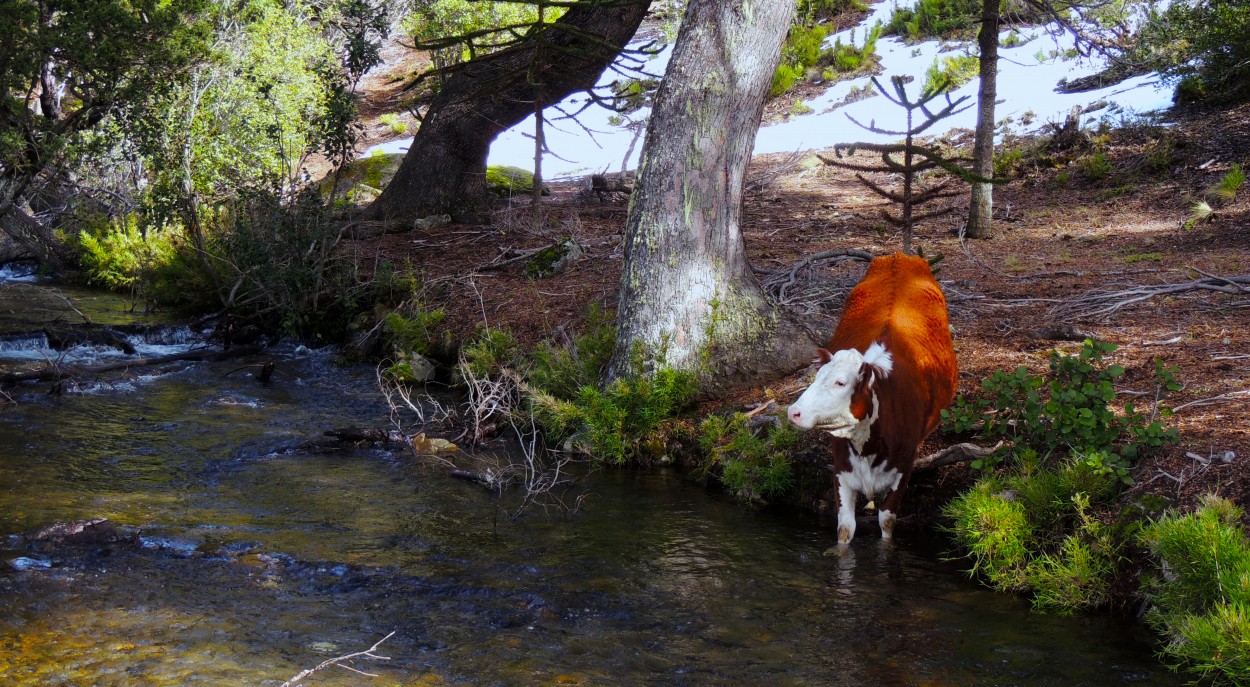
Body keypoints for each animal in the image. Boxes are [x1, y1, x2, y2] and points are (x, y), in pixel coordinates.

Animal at [790, 253, 955, 549]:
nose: (793, 412)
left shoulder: (902, 471)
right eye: (817, 376)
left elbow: (887, 524)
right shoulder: (841, 472)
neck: (868, 444)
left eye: (841, 383)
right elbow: (845, 529)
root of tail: (899, 256)